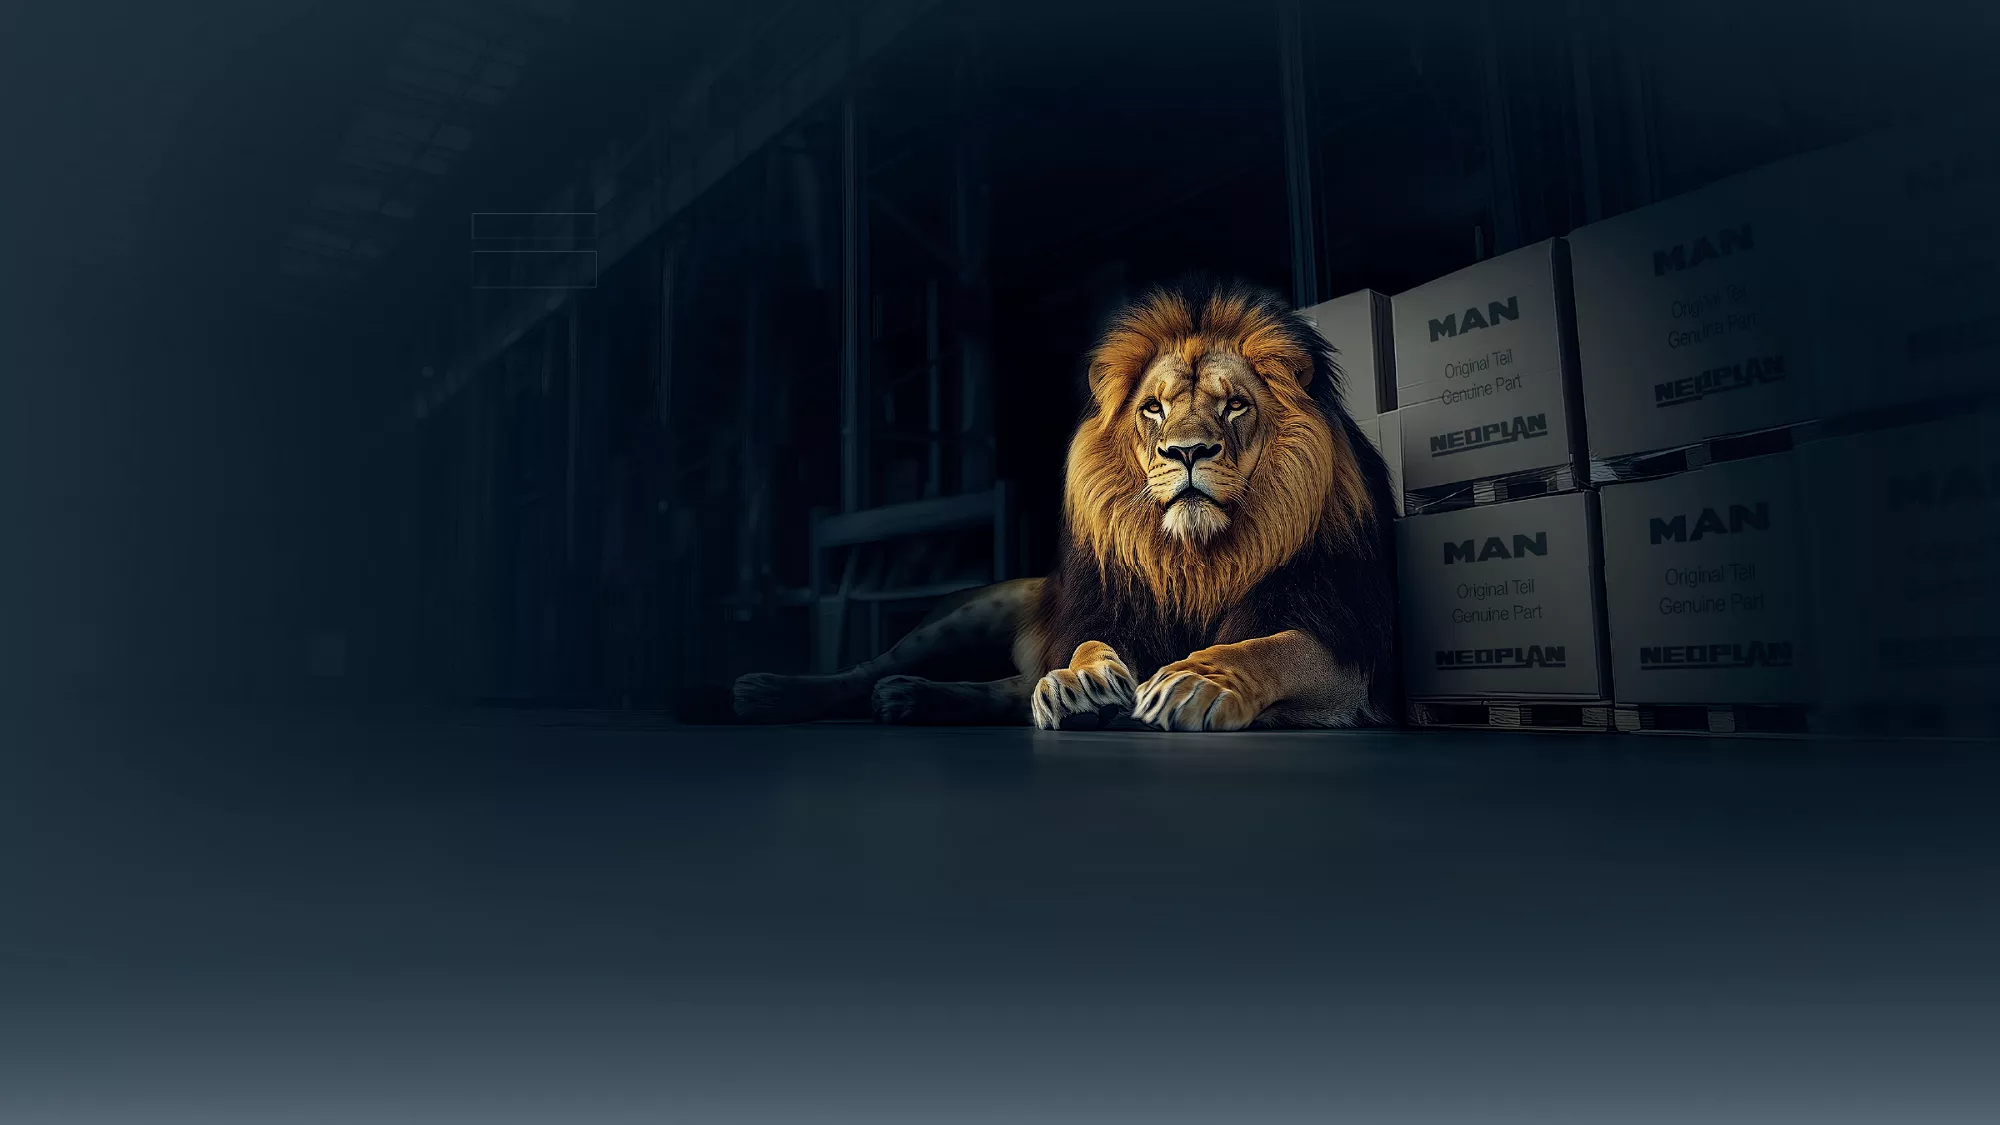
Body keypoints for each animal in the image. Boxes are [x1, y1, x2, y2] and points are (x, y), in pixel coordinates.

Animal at [732, 276, 1398, 730]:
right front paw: (1080, 681)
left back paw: (910, 697)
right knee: (867, 668)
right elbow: (1085, 644)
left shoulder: (1349, 650)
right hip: (973, 611)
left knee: (1001, 688)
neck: (1196, 559)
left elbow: (1272, 646)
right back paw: (769, 689)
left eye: (1235, 405)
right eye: (1153, 408)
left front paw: (1195, 680)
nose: (1187, 451)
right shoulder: (1107, 610)